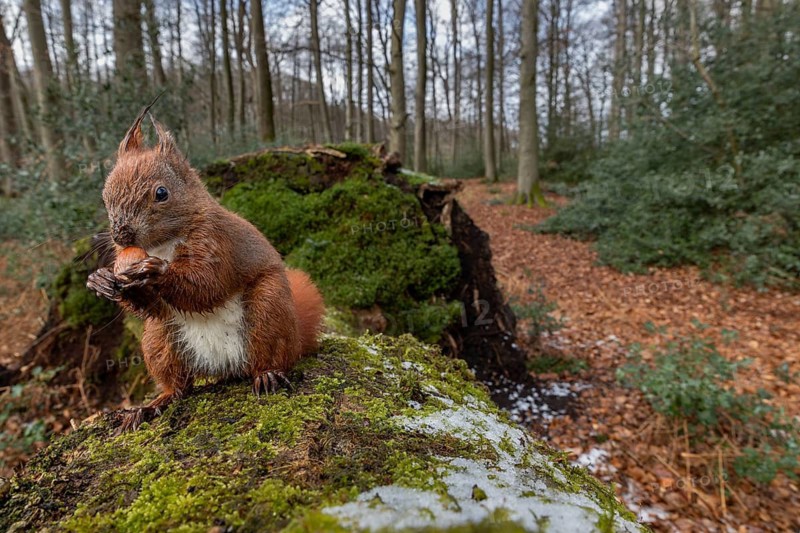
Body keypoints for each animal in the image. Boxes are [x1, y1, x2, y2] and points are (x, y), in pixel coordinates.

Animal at [87, 106, 324, 431]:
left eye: (161, 193)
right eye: (104, 195)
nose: (121, 235)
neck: (162, 244)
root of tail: (225, 365)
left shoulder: (216, 242)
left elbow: (207, 285)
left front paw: (156, 271)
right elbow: (151, 306)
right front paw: (100, 280)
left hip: (269, 309)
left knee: (272, 356)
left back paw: (268, 375)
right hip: (159, 339)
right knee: (180, 387)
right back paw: (150, 406)